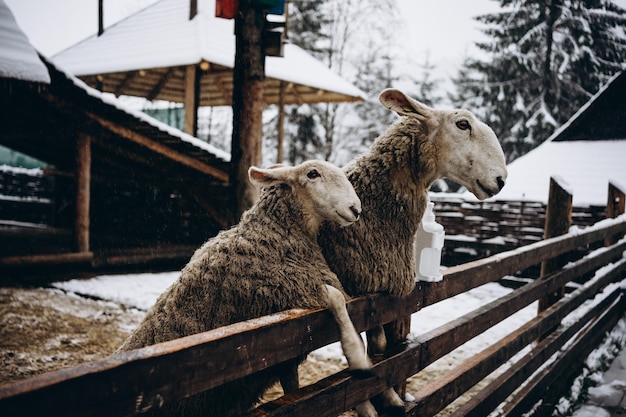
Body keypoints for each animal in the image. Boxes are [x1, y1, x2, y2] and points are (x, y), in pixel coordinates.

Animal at [117, 159, 368, 416]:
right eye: (312, 174)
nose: (355, 209)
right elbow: (338, 298)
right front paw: (358, 357)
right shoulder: (291, 290)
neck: (274, 234)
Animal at [316, 88, 508, 416]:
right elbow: (362, 355)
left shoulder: (380, 293)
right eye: (462, 124)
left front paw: (390, 397)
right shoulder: (359, 289)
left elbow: (380, 350)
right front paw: (372, 404)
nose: (501, 179)